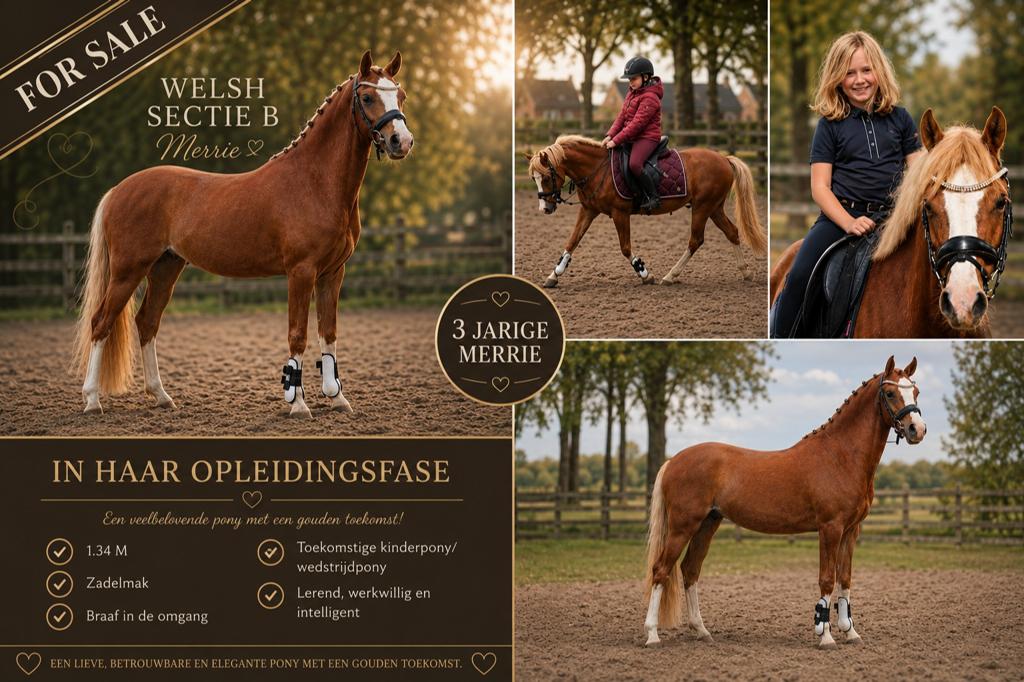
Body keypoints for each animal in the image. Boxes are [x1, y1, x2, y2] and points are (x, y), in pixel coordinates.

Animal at [71, 50, 413, 417]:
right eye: (368, 98)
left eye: (401, 95)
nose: (401, 141)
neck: (314, 182)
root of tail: (118, 190)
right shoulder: (301, 272)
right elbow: (298, 334)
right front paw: (298, 405)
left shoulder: (333, 273)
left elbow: (329, 332)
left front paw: (337, 398)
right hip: (127, 271)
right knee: (101, 323)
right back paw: (92, 400)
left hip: (165, 267)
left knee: (147, 323)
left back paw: (161, 396)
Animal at [525, 136, 766, 287]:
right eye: (533, 179)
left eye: (545, 177)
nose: (545, 208)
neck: (597, 169)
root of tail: (724, 158)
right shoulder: (588, 210)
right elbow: (572, 242)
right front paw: (554, 275)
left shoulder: (620, 213)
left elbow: (625, 248)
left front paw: (645, 273)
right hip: (714, 207)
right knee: (731, 232)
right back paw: (745, 272)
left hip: (702, 207)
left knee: (695, 240)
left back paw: (670, 276)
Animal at [643, 356, 926, 649]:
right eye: (890, 393)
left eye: (915, 392)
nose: (917, 430)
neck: (840, 456)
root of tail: (673, 461)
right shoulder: (830, 528)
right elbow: (827, 580)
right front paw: (826, 637)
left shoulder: (851, 531)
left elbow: (845, 579)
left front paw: (850, 633)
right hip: (682, 526)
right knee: (661, 570)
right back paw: (652, 635)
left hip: (707, 524)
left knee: (690, 571)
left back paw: (701, 630)